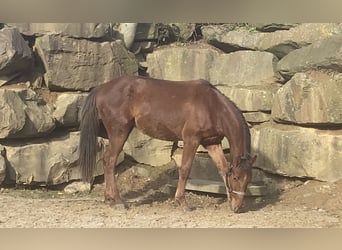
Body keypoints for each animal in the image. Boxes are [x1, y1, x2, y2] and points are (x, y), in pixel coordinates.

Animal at [79, 75, 255, 212]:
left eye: (248, 180)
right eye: (237, 178)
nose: (238, 207)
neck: (212, 106)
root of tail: (101, 88)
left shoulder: (212, 143)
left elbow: (223, 169)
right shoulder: (191, 139)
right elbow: (185, 169)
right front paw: (182, 202)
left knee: (107, 161)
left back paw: (109, 198)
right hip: (119, 132)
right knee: (109, 161)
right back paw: (117, 201)